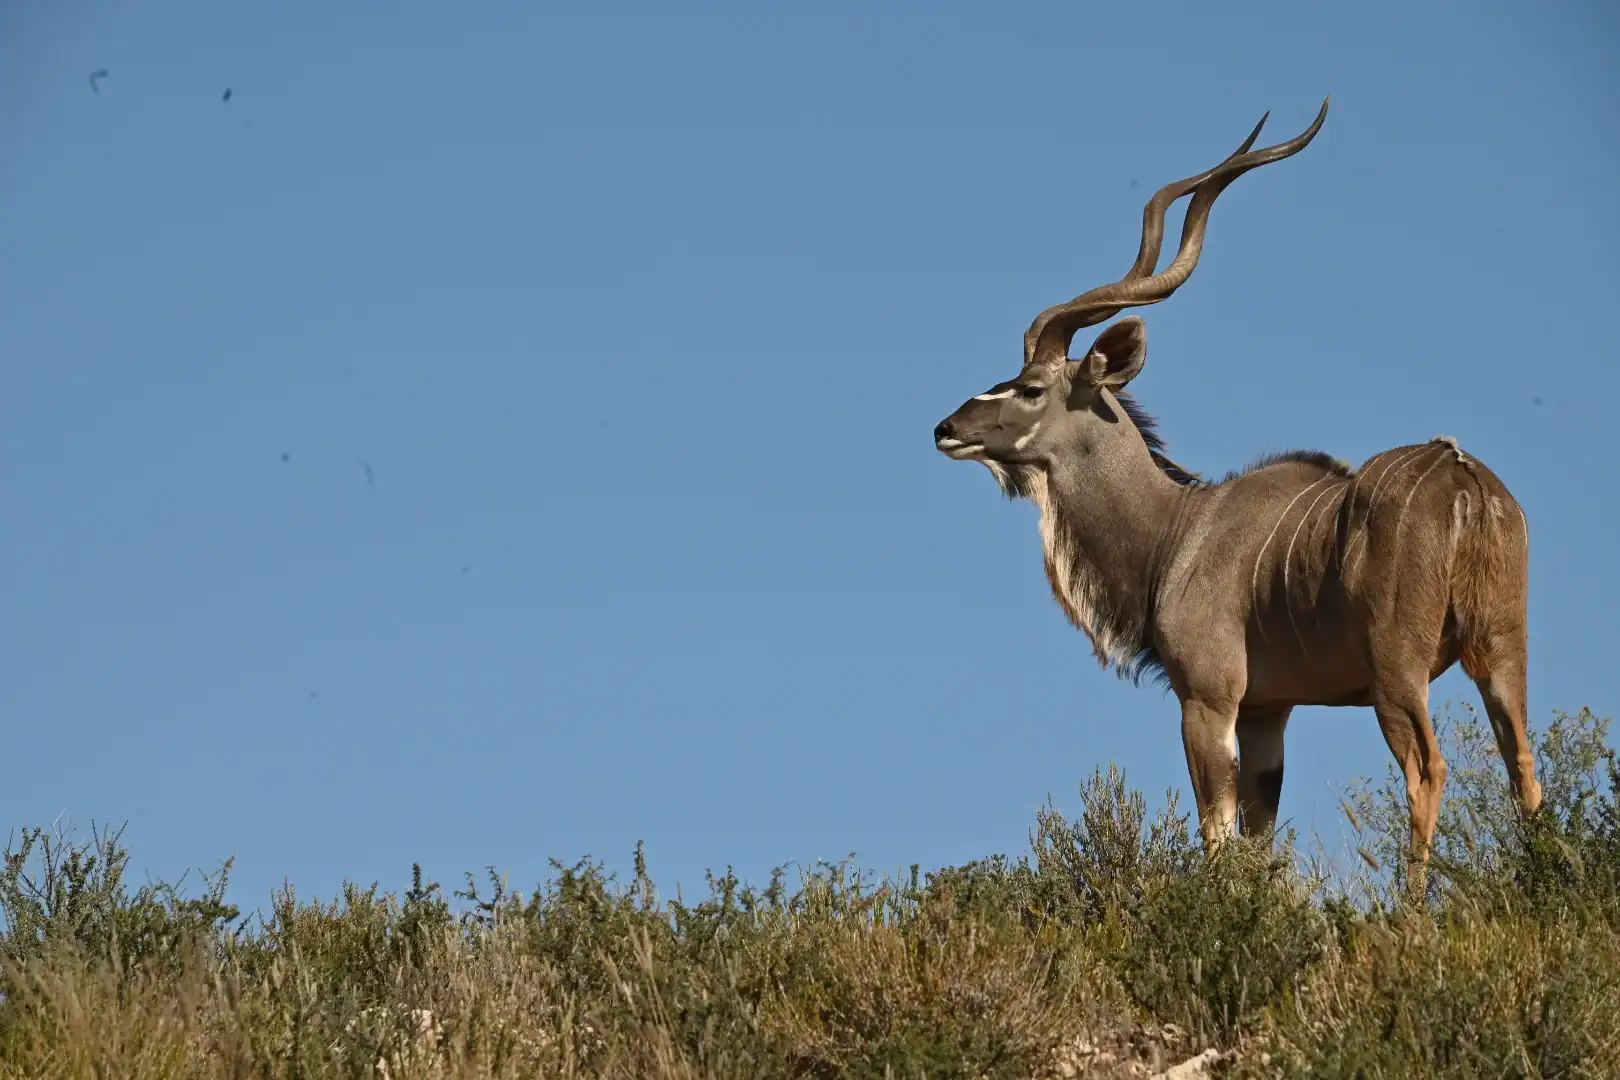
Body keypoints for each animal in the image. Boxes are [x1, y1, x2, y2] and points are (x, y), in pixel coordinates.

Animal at [932, 99, 1542, 883]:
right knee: (1523, 761)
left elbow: (1217, 833)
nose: (946, 428)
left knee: (1428, 768)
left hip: (1398, 670)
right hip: (1500, 648)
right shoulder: (1267, 712)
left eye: (1032, 387)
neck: (1177, 532)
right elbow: (1258, 835)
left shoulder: (1210, 697)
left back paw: (1414, 906)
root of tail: (1465, 480)